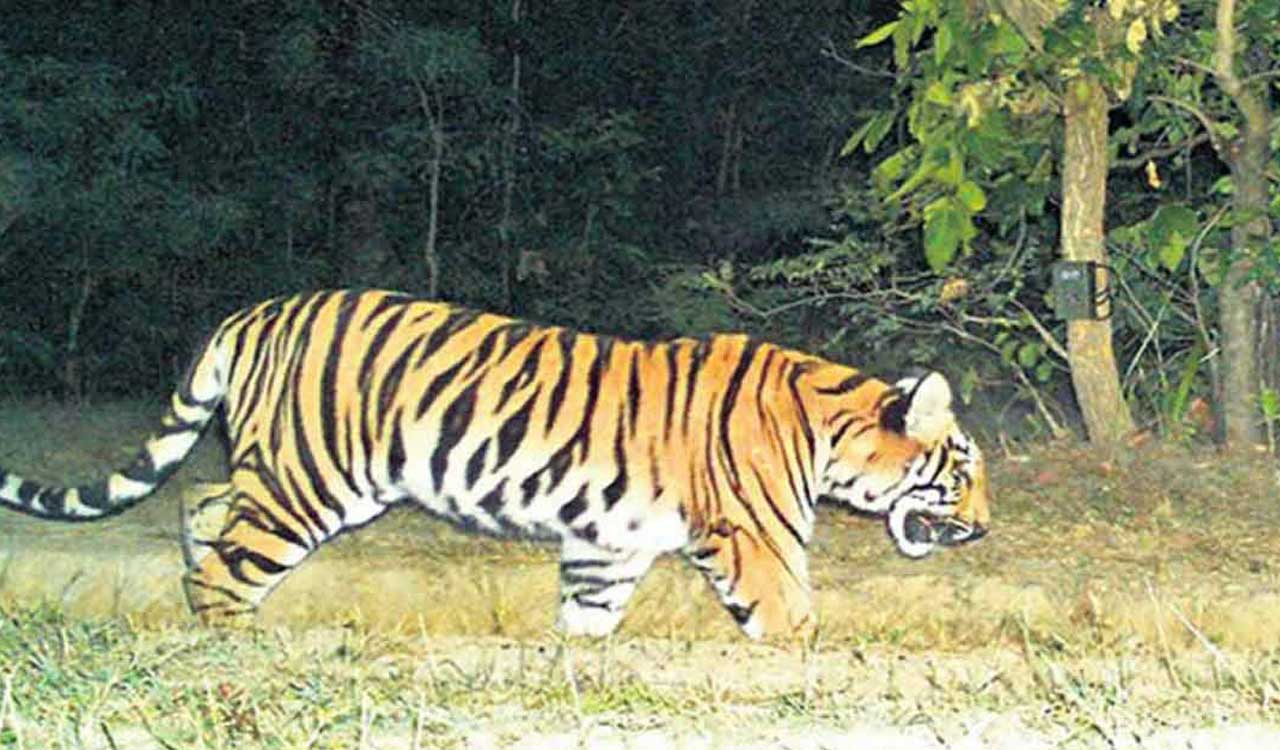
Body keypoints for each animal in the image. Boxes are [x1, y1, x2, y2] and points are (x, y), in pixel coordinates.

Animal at [0, 289, 989, 639]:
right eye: (964, 469)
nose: (984, 526)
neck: (830, 428)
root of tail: (254, 312)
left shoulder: (609, 541)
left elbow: (587, 618)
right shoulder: (759, 543)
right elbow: (794, 621)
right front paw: (811, 660)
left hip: (285, 474)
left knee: (203, 503)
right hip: (310, 481)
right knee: (229, 561)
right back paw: (231, 639)